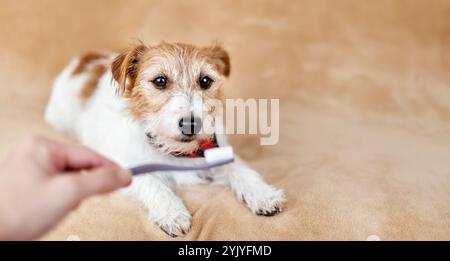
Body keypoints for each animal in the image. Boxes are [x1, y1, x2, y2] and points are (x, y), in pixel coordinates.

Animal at [44, 42, 284, 236]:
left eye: (205, 81)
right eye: (160, 80)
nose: (191, 124)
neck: (175, 151)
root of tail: (83, 59)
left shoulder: (217, 152)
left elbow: (240, 170)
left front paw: (263, 194)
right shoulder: (125, 169)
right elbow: (154, 184)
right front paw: (172, 213)